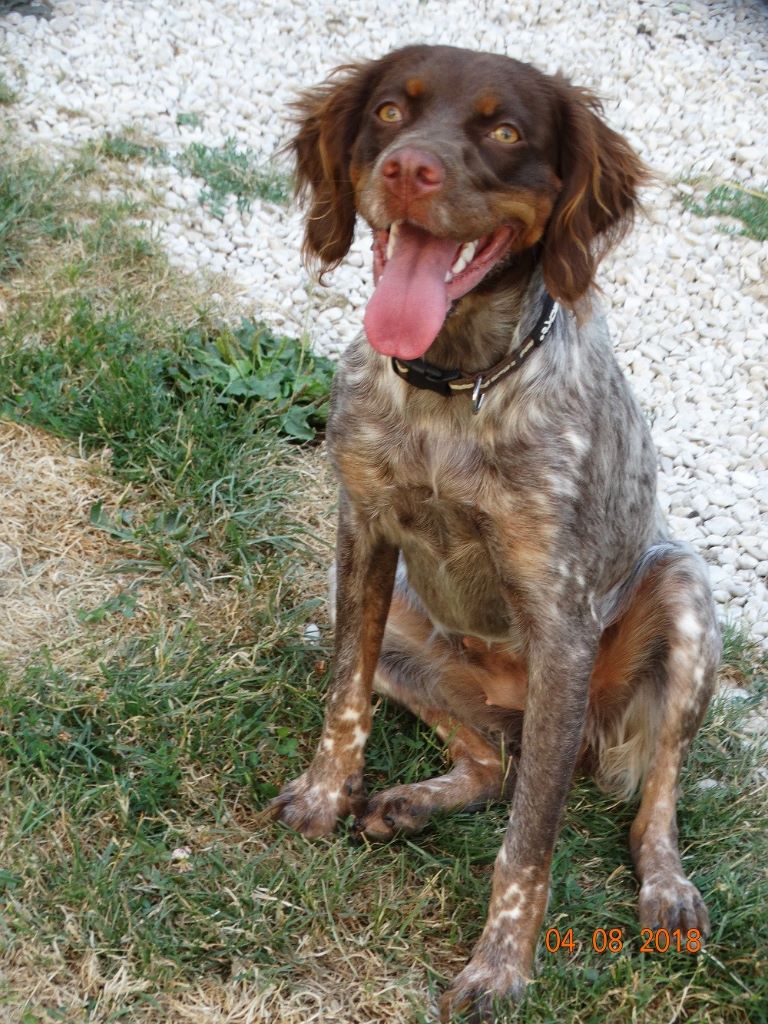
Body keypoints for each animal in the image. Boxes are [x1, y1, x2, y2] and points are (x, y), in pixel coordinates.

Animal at [268, 44, 720, 1019]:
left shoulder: (562, 623)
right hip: (401, 632)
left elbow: (530, 841)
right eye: (390, 113)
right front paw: (324, 797)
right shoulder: (363, 534)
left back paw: (667, 887)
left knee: (651, 798)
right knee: (491, 760)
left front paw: (501, 966)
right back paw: (408, 803)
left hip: (682, 596)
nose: (409, 170)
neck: (456, 384)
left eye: (507, 132)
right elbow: (343, 698)